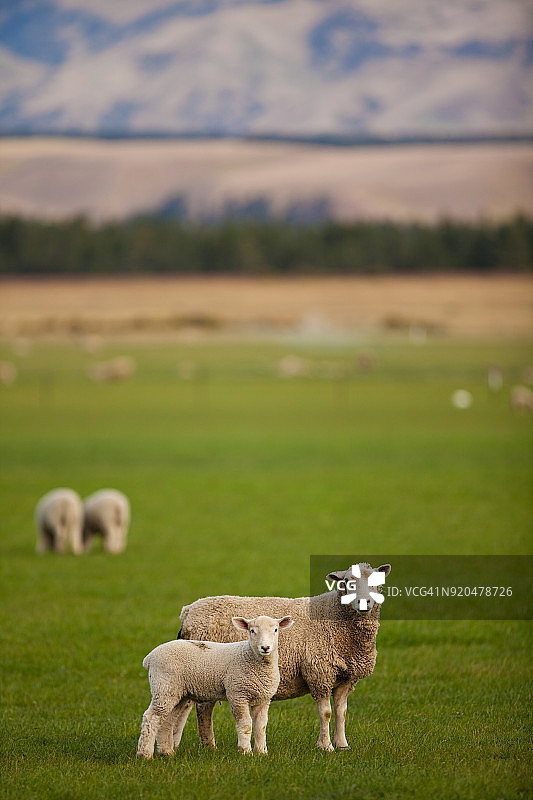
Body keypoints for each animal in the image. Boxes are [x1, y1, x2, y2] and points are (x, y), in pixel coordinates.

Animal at [136, 616, 296, 760]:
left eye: (275, 630)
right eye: (252, 631)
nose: (265, 647)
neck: (250, 656)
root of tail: (150, 657)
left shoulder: (263, 699)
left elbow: (261, 727)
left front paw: (262, 752)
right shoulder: (237, 694)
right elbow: (245, 724)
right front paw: (245, 751)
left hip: (177, 693)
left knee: (166, 721)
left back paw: (167, 752)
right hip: (164, 686)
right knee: (151, 717)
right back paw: (145, 754)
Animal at [179, 564, 390, 752]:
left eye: (376, 581)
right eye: (347, 582)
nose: (363, 603)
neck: (332, 614)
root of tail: (188, 611)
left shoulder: (346, 678)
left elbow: (341, 712)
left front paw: (343, 745)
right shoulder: (319, 674)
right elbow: (326, 713)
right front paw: (326, 746)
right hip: (205, 671)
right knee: (203, 710)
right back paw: (209, 746)